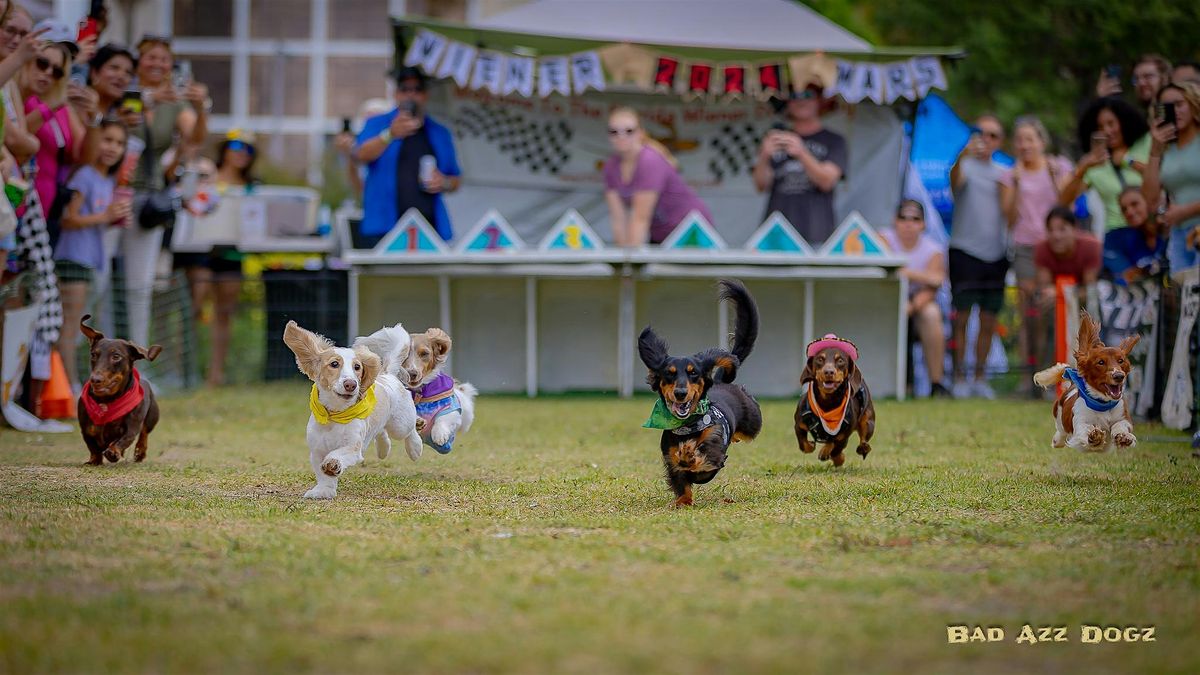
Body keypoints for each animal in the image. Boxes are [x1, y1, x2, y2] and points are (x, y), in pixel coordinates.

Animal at [77, 314, 162, 465]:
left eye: (116, 356)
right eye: (93, 355)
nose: (95, 380)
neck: (106, 402)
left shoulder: (131, 429)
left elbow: (123, 440)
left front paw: (113, 452)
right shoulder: (86, 429)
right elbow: (92, 446)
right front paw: (94, 460)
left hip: (152, 417)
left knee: (144, 433)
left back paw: (140, 452)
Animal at [283, 320, 424, 499]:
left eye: (357, 367)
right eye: (334, 364)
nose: (351, 384)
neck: (334, 415)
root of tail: (387, 374)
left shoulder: (353, 447)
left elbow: (337, 455)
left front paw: (333, 464)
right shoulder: (317, 450)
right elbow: (323, 475)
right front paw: (323, 491)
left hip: (400, 424)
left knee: (409, 430)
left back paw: (415, 446)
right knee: (381, 431)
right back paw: (383, 449)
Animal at [638, 279, 762, 507]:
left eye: (693, 372)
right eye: (668, 374)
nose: (680, 393)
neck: (688, 427)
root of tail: (721, 382)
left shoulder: (715, 457)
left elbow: (701, 462)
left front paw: (688, 454)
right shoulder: (670, 459)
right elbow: (681, 481)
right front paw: (682, 502)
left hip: (753, 422)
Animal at [794, 334, 875, 467]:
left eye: (840, 360)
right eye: (820, 359)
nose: (829, 372)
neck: (827, 403)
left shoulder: (844, 435)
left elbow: (836, 449)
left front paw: (836, 458)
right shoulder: (798, 425)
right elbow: (804, 445)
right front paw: (811, 445)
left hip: (868, 421)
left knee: (864, 439)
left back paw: (863, 447)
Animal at [1034, 311, 1139, 452]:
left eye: (1121, 360)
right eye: (1101, 362)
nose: (1119, 376)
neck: (1102, 404)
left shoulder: (1123, 415)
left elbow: (1121, 425)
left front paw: (1124, 437)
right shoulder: (1080, 420)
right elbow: (1084, 430)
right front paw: (1094, 437)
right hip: (1059, 415)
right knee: (1061, 432)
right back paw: (1057, 441)